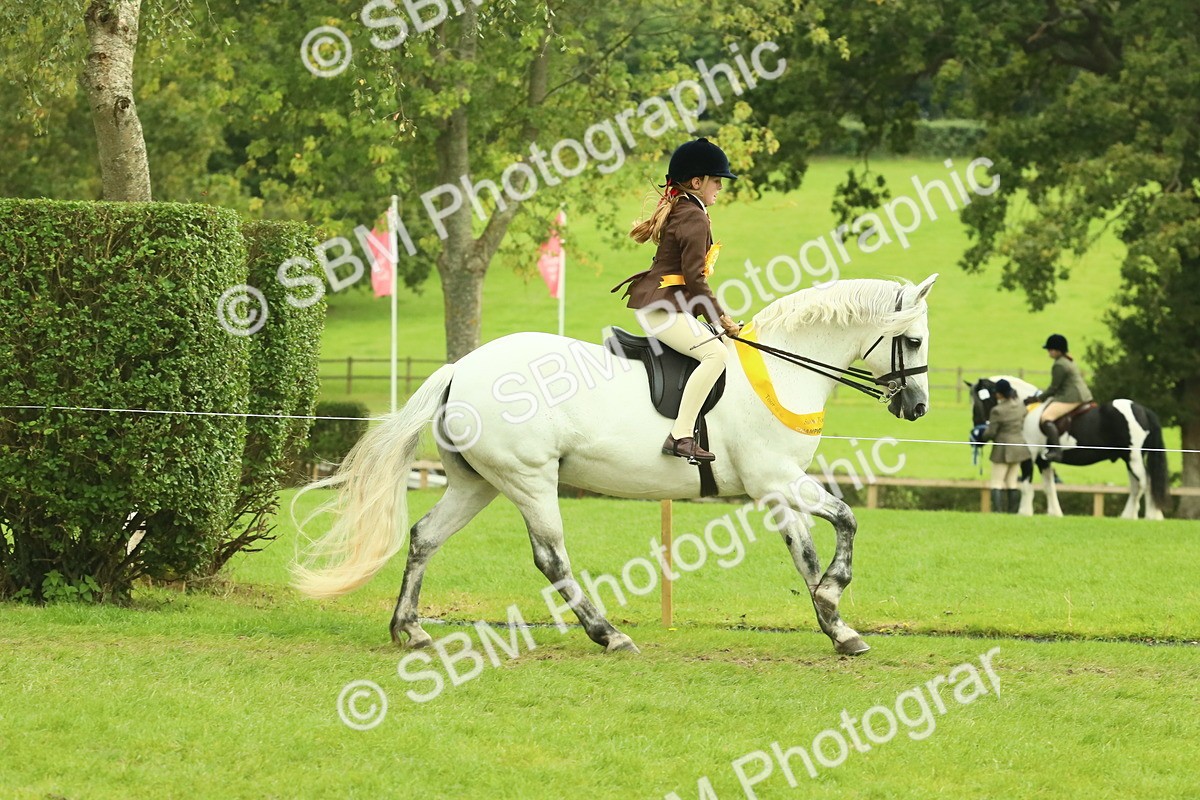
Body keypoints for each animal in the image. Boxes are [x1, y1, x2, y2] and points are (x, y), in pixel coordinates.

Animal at [293, 275, 939, 656]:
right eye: (913, 341)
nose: (916, 408)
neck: (782, 370)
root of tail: (461, 368)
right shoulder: (775, 481)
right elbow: (837, 527)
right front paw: (836, 605)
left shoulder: (780, 487)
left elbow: (815, 544)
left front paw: (837, 622)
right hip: (530, 479)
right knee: (551, 558)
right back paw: (608, 634)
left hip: (480, 485)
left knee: (425, 536)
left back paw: (410, 628)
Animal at [967, 375, 1167, 519]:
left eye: (981, 403)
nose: (978, 438)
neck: (1025, 411)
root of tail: (1142, 410)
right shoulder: (1043, 461)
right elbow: (1049, 487)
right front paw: (1055, 513)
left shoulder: (1029, 456)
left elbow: (1026, 486)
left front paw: (1024, 512)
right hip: (1128, 458)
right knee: (1137, 485)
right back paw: (1136, 515)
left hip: (1133, 458)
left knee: (1145, 483)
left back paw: (1145, 515)